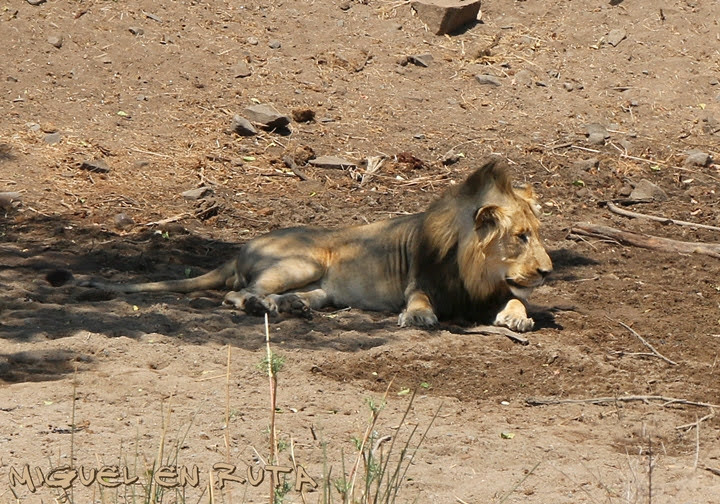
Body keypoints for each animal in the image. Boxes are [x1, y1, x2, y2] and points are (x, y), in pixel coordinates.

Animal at [83, 158, 552, 330]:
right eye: (520, 237)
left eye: (539, 233)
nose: (548, 271)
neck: (476, 267)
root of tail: (241, 246)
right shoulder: (420, 282)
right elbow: (419, 300)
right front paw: (419, 318)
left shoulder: (492, 291)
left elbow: (517, 299)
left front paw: (518, 319)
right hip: (304, 261)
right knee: (238, 293)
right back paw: (263, 307)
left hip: (322, 288)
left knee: (291, 297)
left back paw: (294, 307)